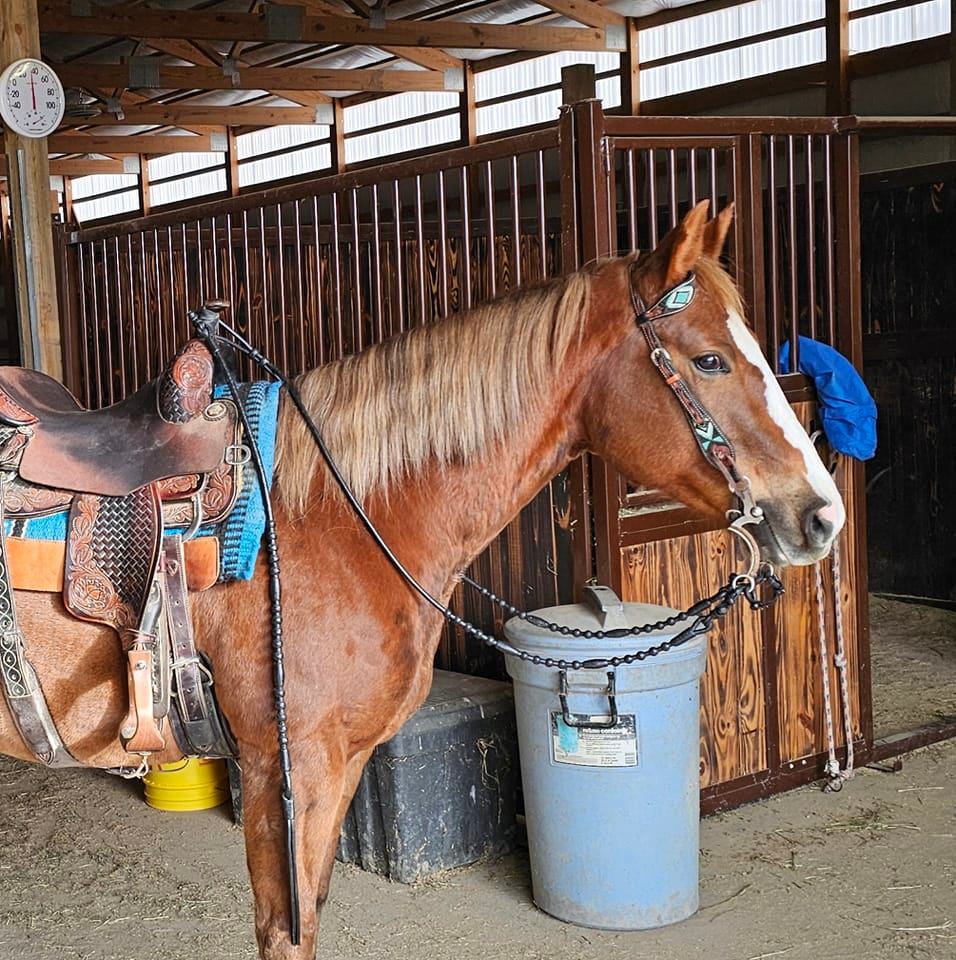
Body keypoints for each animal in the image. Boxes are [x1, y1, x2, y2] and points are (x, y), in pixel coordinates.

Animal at [0, 200, 844, 959]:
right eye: (710, 360)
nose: (821, 515)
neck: (331, 518)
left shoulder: (336, 769)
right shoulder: (287, 770)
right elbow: (286, 934)